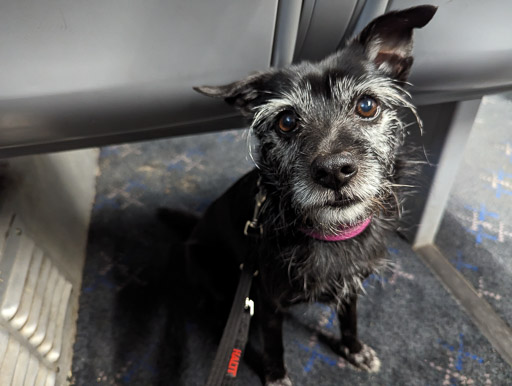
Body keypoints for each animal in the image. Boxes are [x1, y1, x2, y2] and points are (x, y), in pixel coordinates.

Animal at [190, 5, 438, 382]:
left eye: (367, 105)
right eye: (286, 121)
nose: (334, 171)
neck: (332, 235)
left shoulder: (352, 286)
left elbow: (350, 321)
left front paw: (353, 350)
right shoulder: (266, 302)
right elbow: (273, 344)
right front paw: (275, 375)